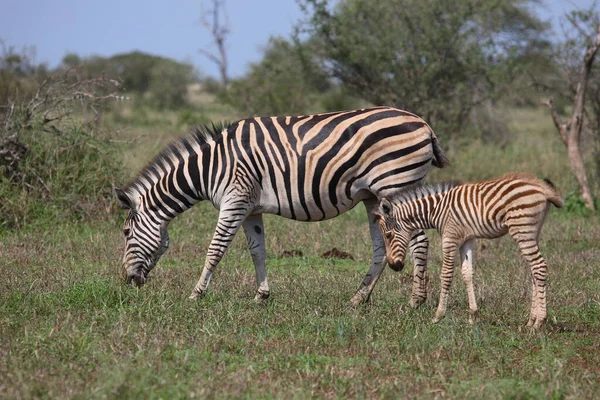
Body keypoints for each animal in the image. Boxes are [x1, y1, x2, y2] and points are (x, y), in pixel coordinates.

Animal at [115, 104, 448, 304]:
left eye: (126, 233)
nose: (128, 281)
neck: (211, 166)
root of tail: (423, 124)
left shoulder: (234, 200)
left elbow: (215, 249)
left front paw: (196, 294)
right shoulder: (250, 208)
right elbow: (257, 251)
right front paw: (261, 296)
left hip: (396, 184)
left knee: (419, 241)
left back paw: (416, 301)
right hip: (373, 197)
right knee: (381, 247)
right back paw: (357, 299)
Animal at [376, 173, 564, 330]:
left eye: (388, 235)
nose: (394, 266)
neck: (437, 210)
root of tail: (542, 188)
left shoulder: (450, 238)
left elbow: (446, 274)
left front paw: (438, 315)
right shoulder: (466, 240)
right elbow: (467, 273)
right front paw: (473, 315)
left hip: (522, 230)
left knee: (539, 267)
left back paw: (539, 322)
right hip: (533, 232)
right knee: (534, 272)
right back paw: (530, 321)